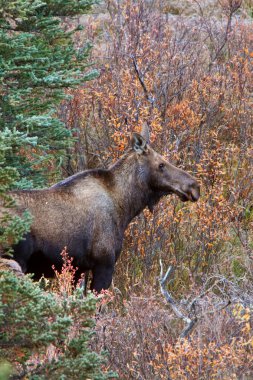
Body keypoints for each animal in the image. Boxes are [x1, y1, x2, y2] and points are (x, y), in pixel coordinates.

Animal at [1, 126, 200, 292]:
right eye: (161, 165)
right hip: (15, 261)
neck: (125, 207)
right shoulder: (104, 263)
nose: (194, 186)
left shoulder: (77, 270)